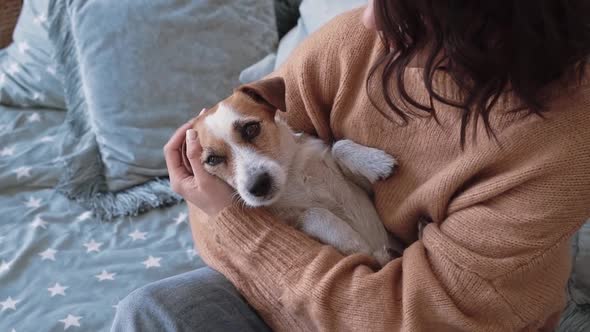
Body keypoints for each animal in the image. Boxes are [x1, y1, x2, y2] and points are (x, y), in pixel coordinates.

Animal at [185, 76, 404, 266]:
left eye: (251, 128)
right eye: (213, 159)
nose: (258, 186)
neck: (291, 177)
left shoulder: (367, 190)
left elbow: (338, 146)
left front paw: (374, 162)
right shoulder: (293, 222)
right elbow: (313, 214)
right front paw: (354, 242)